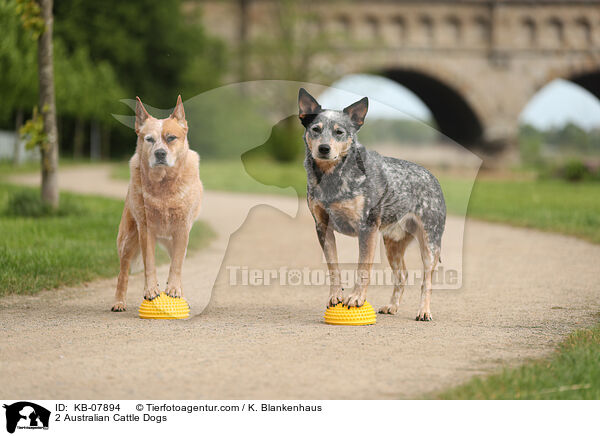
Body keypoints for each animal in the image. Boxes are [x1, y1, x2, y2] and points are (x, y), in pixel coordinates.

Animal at [300, 87, 446, 320]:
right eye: (315, 129)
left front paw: (356, 298)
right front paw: (335, 296)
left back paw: (423, 311)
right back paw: (392, 306)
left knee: (427, 280)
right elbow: (333, 266)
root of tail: (432, 176)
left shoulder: (367, 228)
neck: (332, 178)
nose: (323, 148)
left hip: (430, 242)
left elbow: (363, 268)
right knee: (402, 275)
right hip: (392, 243)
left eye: (339, 132)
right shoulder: (322, 226)